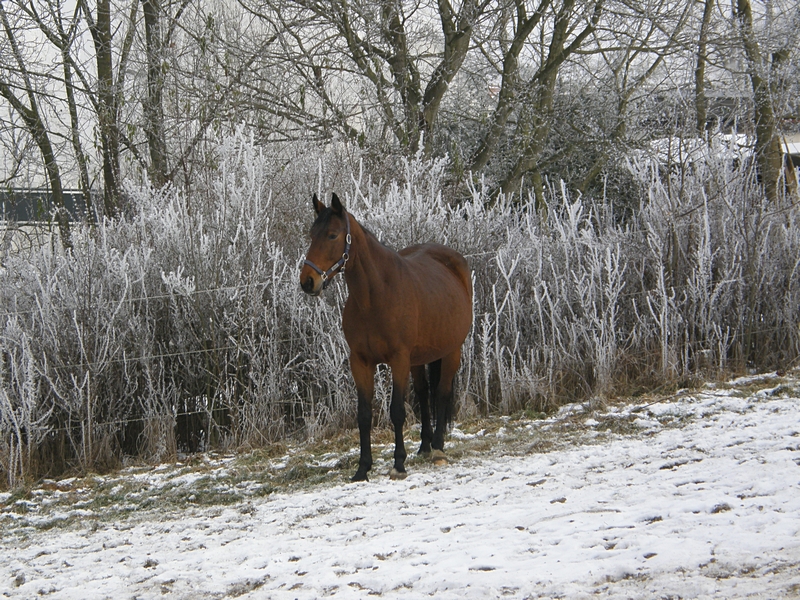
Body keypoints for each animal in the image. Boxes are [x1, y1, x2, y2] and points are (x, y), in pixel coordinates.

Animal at [302, 193, 476, 482]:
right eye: (311, 235)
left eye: (332, 235)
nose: (307, 281)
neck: (375, 296)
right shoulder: (360, 361)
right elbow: (364, 414)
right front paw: (362, 468)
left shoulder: (398, 359)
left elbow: (397, 410)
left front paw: (398, 463)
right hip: (419, 358)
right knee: (424, 393)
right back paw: (425, 446)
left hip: (452, 351)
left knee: (441, 393)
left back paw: (438, 449)